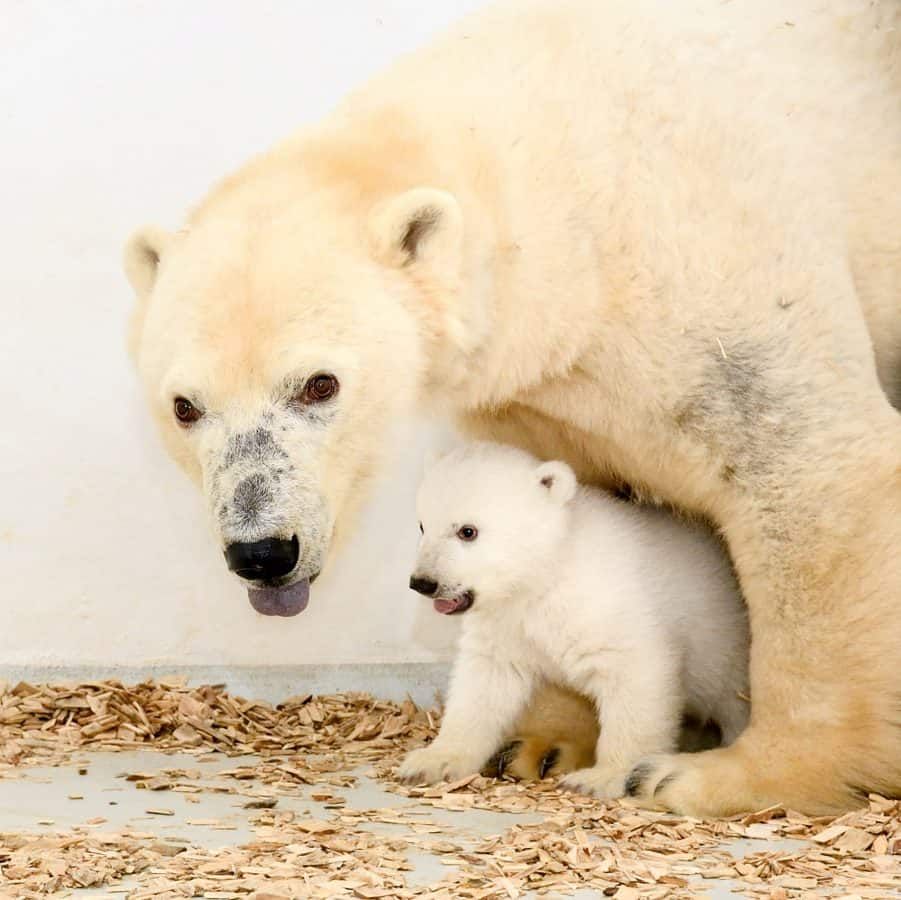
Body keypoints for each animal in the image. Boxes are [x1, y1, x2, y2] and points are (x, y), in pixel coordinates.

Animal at [125, 0, 900, 816]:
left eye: (319, 384)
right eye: (184, 407)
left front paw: (721, 774)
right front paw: (542, 742)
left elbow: (806, 469)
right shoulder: (546, 388)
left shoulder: (724, 291)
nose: (262, 553)